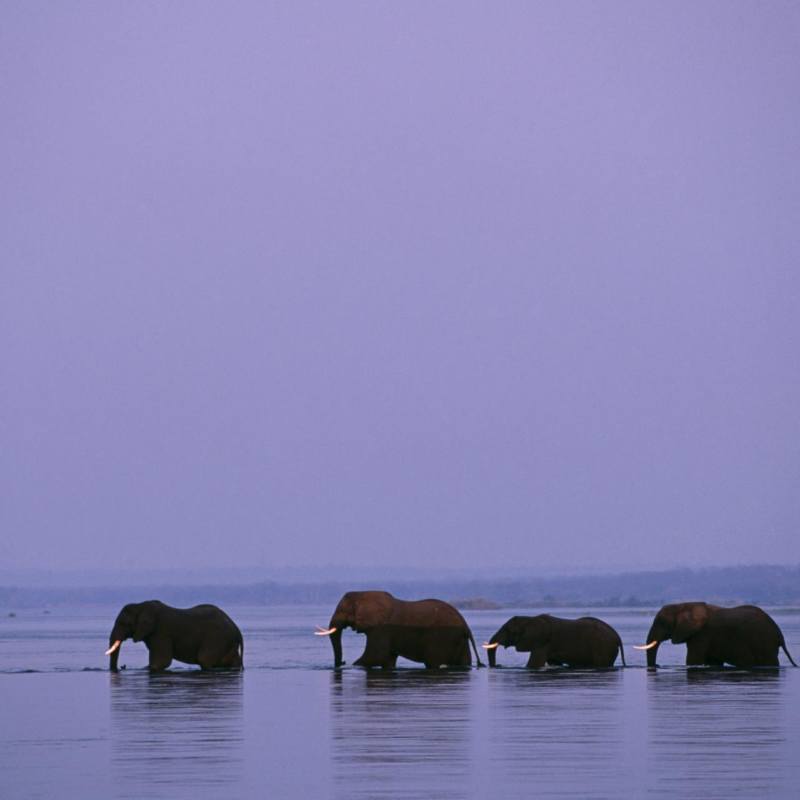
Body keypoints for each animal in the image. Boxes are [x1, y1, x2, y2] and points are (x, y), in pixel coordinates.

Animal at [105, 600, 243, 671]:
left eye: (124, 623)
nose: (122, 666)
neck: (141, 605)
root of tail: (237, 629)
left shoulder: (161, 633)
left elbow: (161, 663)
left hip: (217, 639)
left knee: (204, 660)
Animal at [315, 591, 483, 668]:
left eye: (342, 610)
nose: (342, 662)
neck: (363, 593)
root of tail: (466, 626)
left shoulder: (381, 630)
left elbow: (375, 657)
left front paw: (352, 666)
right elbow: (387, 660)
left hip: (443, 638)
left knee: (432, 663)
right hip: (460, 641)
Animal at [484, 614, 626, 668]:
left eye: (508, 630)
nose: (498, 665)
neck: (529, 619)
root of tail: (617, 636)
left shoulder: (541, 643)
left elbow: (533, 664)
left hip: (604, 648)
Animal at [636, 602, 797, 668]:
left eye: (661, 622)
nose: (657, 665)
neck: (684, 605)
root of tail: (779, 635)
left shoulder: (701, 635)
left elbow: (693, 660)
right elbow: (713, 662)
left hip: (765, 644)